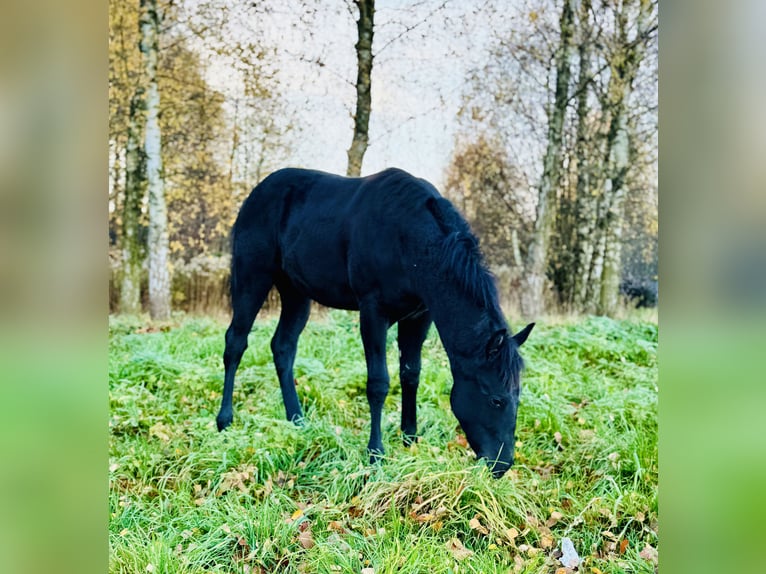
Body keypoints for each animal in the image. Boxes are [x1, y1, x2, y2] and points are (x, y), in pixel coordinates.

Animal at [216, 167, 534, 478]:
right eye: (496, 400)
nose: (502, 465)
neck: (411, 239)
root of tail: (256, 193)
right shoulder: (373, 312)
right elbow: (379, 383)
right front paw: (376, 453)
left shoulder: (420, 317)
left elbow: (411, 374)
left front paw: (410, 438)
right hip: (253, 277)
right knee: (236, 343)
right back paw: (225, 420)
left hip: (296, 293)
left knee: (283, 347)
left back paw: (297, 419)